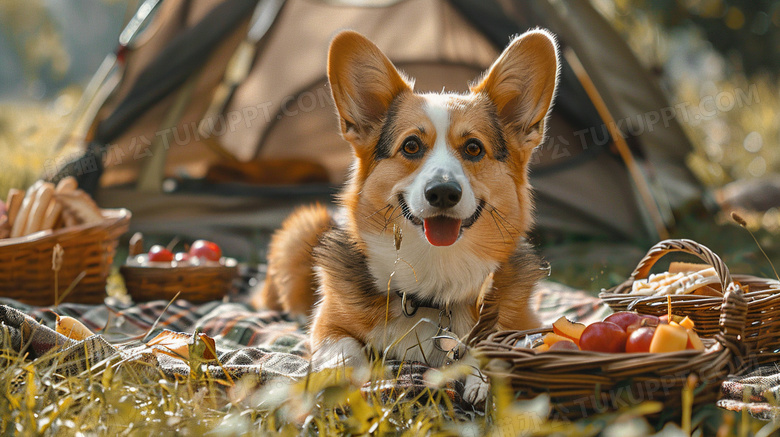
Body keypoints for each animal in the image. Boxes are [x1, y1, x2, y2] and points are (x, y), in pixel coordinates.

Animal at [256, 28, 560, 402]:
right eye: (411, 145)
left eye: (474, 148)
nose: (443, 192)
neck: (435, 277)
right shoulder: (327, 325)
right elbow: (344, 349)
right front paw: (344, 378)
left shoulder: (527, 326)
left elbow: (497, 344)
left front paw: (479, 378)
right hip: (302, 228)